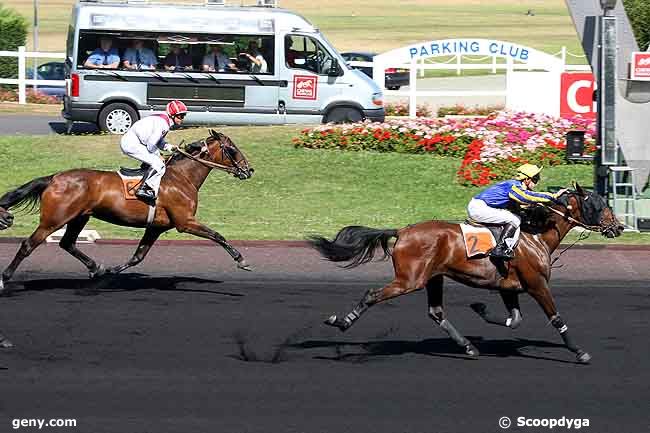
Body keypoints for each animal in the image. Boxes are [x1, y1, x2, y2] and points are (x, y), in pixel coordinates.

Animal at [0, 128, 253, 294]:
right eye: (232, 149)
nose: (249, 170)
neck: (182, 177)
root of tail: (53, 178)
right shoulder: (185, 222)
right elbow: (217, 235)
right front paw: (241, 260)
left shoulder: (156, 227)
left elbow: (137, 256)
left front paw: (110, 272)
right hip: (54, 220)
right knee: (28, 245)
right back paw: (5, 279)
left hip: (79, 217)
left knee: (67, 243)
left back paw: (96, 268)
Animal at [308, 184, 624, 362]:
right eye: (600, 204)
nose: (618, 227)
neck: (534, 235)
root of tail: (403, 231)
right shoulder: (536, 284)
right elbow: (556, 318)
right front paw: (579, 352)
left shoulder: (508, 287)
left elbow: (514, 320)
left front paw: (480, 307)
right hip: (409, 280)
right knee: (372, 294)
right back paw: (342, 322)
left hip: (433, 278)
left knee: (436, 312)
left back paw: (468, 347)